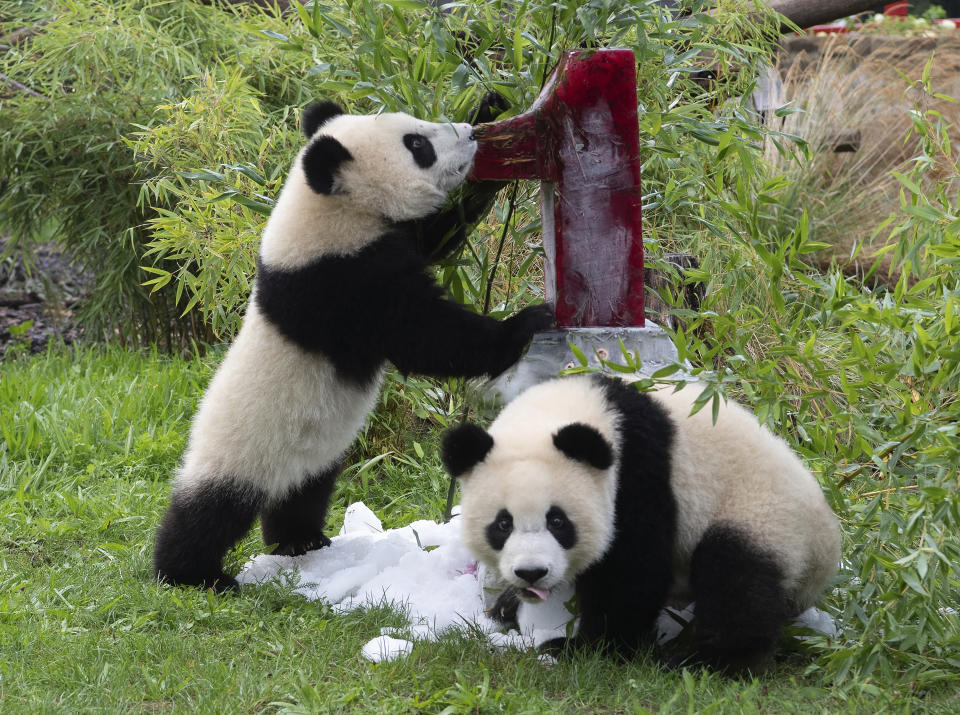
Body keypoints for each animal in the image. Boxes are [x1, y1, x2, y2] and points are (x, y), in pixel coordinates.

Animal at [154, 100, 552, 592]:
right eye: (416, 145)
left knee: (303, 494)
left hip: (311, 456)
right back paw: (190, 574)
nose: (469, 135)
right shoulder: (337, 283)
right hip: (243, 449)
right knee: (209, 512)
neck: (326, 208)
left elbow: (437, 236)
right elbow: (423, 334)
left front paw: (493, 116)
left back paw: (300, 541)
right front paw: (526, 323)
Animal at [442, 374, 840, 676]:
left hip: (763, 516)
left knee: (736, 580)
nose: (531, 573)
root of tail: (827, 547)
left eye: (557, 521)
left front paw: (583, 648)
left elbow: (633, 573)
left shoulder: (639, 475)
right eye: (502, 524)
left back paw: (706, 662)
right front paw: (508, 604)